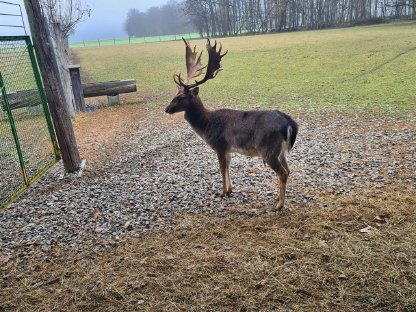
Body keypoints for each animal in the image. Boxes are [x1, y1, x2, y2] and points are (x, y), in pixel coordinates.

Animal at [164, 39, 298, 210]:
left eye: (181, 97)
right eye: (176, 94)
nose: (167, 109)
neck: (206, 125)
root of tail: (290, 123)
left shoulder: (219, 145)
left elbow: (221, 168)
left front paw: (222, 192)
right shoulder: (228, 149)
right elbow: (227, 167)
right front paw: (229, 190)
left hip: (269, 149)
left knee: (283, 172)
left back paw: (279, 205)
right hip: (281, 152)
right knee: (288, 170)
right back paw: (278, 198)